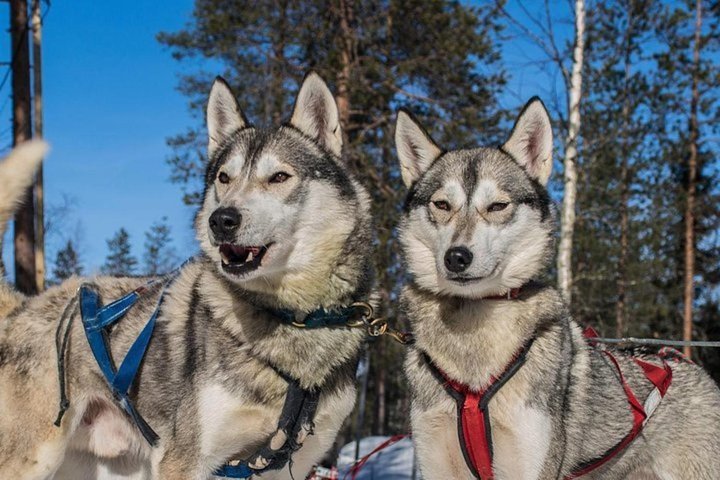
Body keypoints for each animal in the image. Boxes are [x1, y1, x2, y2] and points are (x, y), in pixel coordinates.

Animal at [4, 72, 376, 480]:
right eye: (224, 178)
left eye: (279, 177)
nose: (221, 220)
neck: (293, 318)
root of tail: (22, 307)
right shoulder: (184, 460)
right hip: (35, 459)